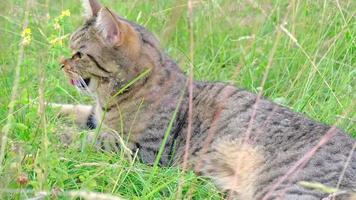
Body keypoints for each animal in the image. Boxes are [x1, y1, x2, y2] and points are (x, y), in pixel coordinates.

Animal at [57, 0, 354, 199]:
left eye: (78, 54)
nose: (61, 64)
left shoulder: (143, 150)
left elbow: (89, 140)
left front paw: (55, 134)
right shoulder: (94, 115)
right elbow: (69, 110)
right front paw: (46, 115)